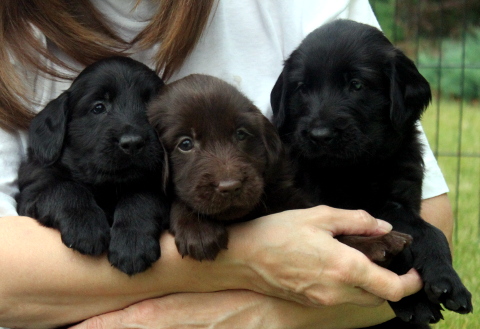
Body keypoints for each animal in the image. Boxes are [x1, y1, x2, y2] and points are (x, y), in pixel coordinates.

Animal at [16, 55, 170, 274]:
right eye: (98, 107)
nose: (132, 143)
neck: (107, 187)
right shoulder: (34, 188)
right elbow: (65, 188)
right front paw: (86, 227)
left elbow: (141, 196)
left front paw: (132, 243)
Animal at [149, 73, 408, 262]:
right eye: (185, 144)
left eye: (241, 134)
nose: (230, 187)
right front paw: (198, 229)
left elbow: (338, 233)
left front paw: (380, 240)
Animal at [270, 19, 472, 326]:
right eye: (302, 88)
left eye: (356, 84)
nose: (319, 135)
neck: (356, 168)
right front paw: (413, 301)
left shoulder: (398, 200)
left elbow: (430, 231)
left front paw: (447, 278)